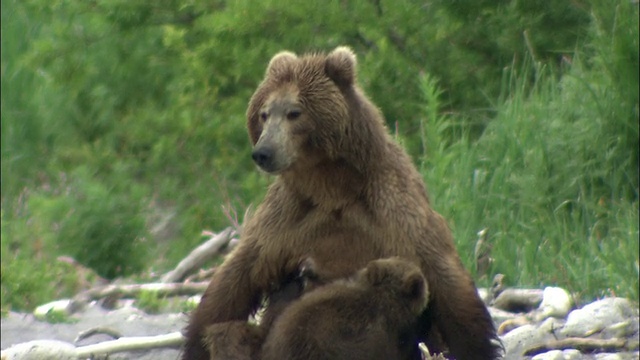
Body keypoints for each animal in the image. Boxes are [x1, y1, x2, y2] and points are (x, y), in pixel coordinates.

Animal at [182, 46, 502, 358]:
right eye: (263, 113)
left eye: (294, 112)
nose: (263, 152)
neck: (331, 186)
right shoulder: (286, 219)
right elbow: (235, 281)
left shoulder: (392, 207)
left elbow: (445, 278)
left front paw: (477, 345)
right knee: (230, 332)